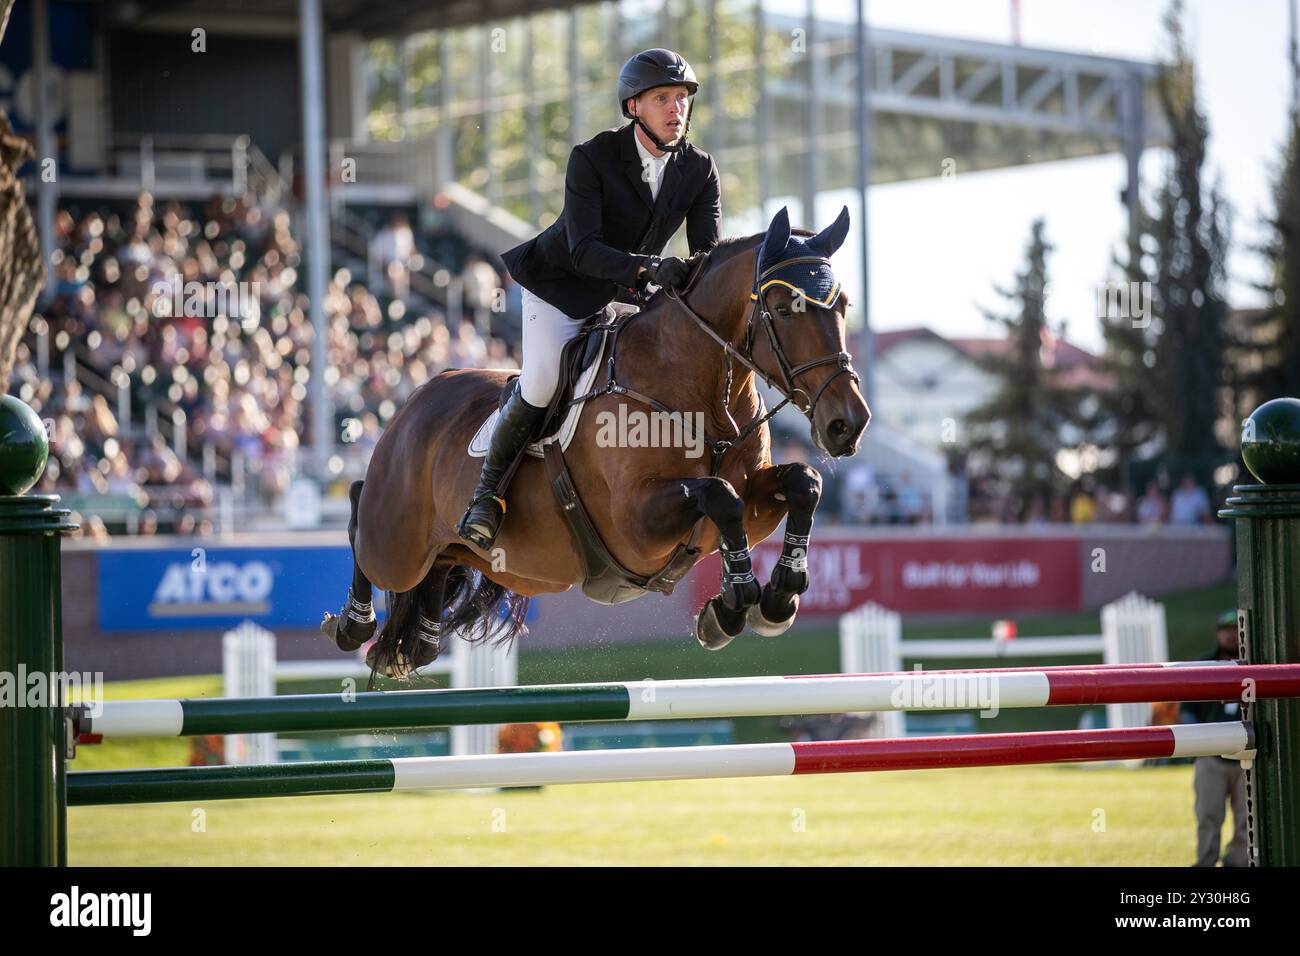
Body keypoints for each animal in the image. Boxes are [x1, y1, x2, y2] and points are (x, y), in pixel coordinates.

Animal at [322, 205, 873, 676]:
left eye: (844, 305)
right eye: (783, 307)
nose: (848, 424)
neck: (701, 397)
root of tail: (418, 397)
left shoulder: (753, 499)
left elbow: (803, 484)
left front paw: (776, 598)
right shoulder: (634, 524)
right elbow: (721, 497)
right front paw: (736, 600)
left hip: (472, 556)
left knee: (439, 566)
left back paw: (419, 641)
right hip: (396, 545)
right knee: (361, 516)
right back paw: (353, 624)